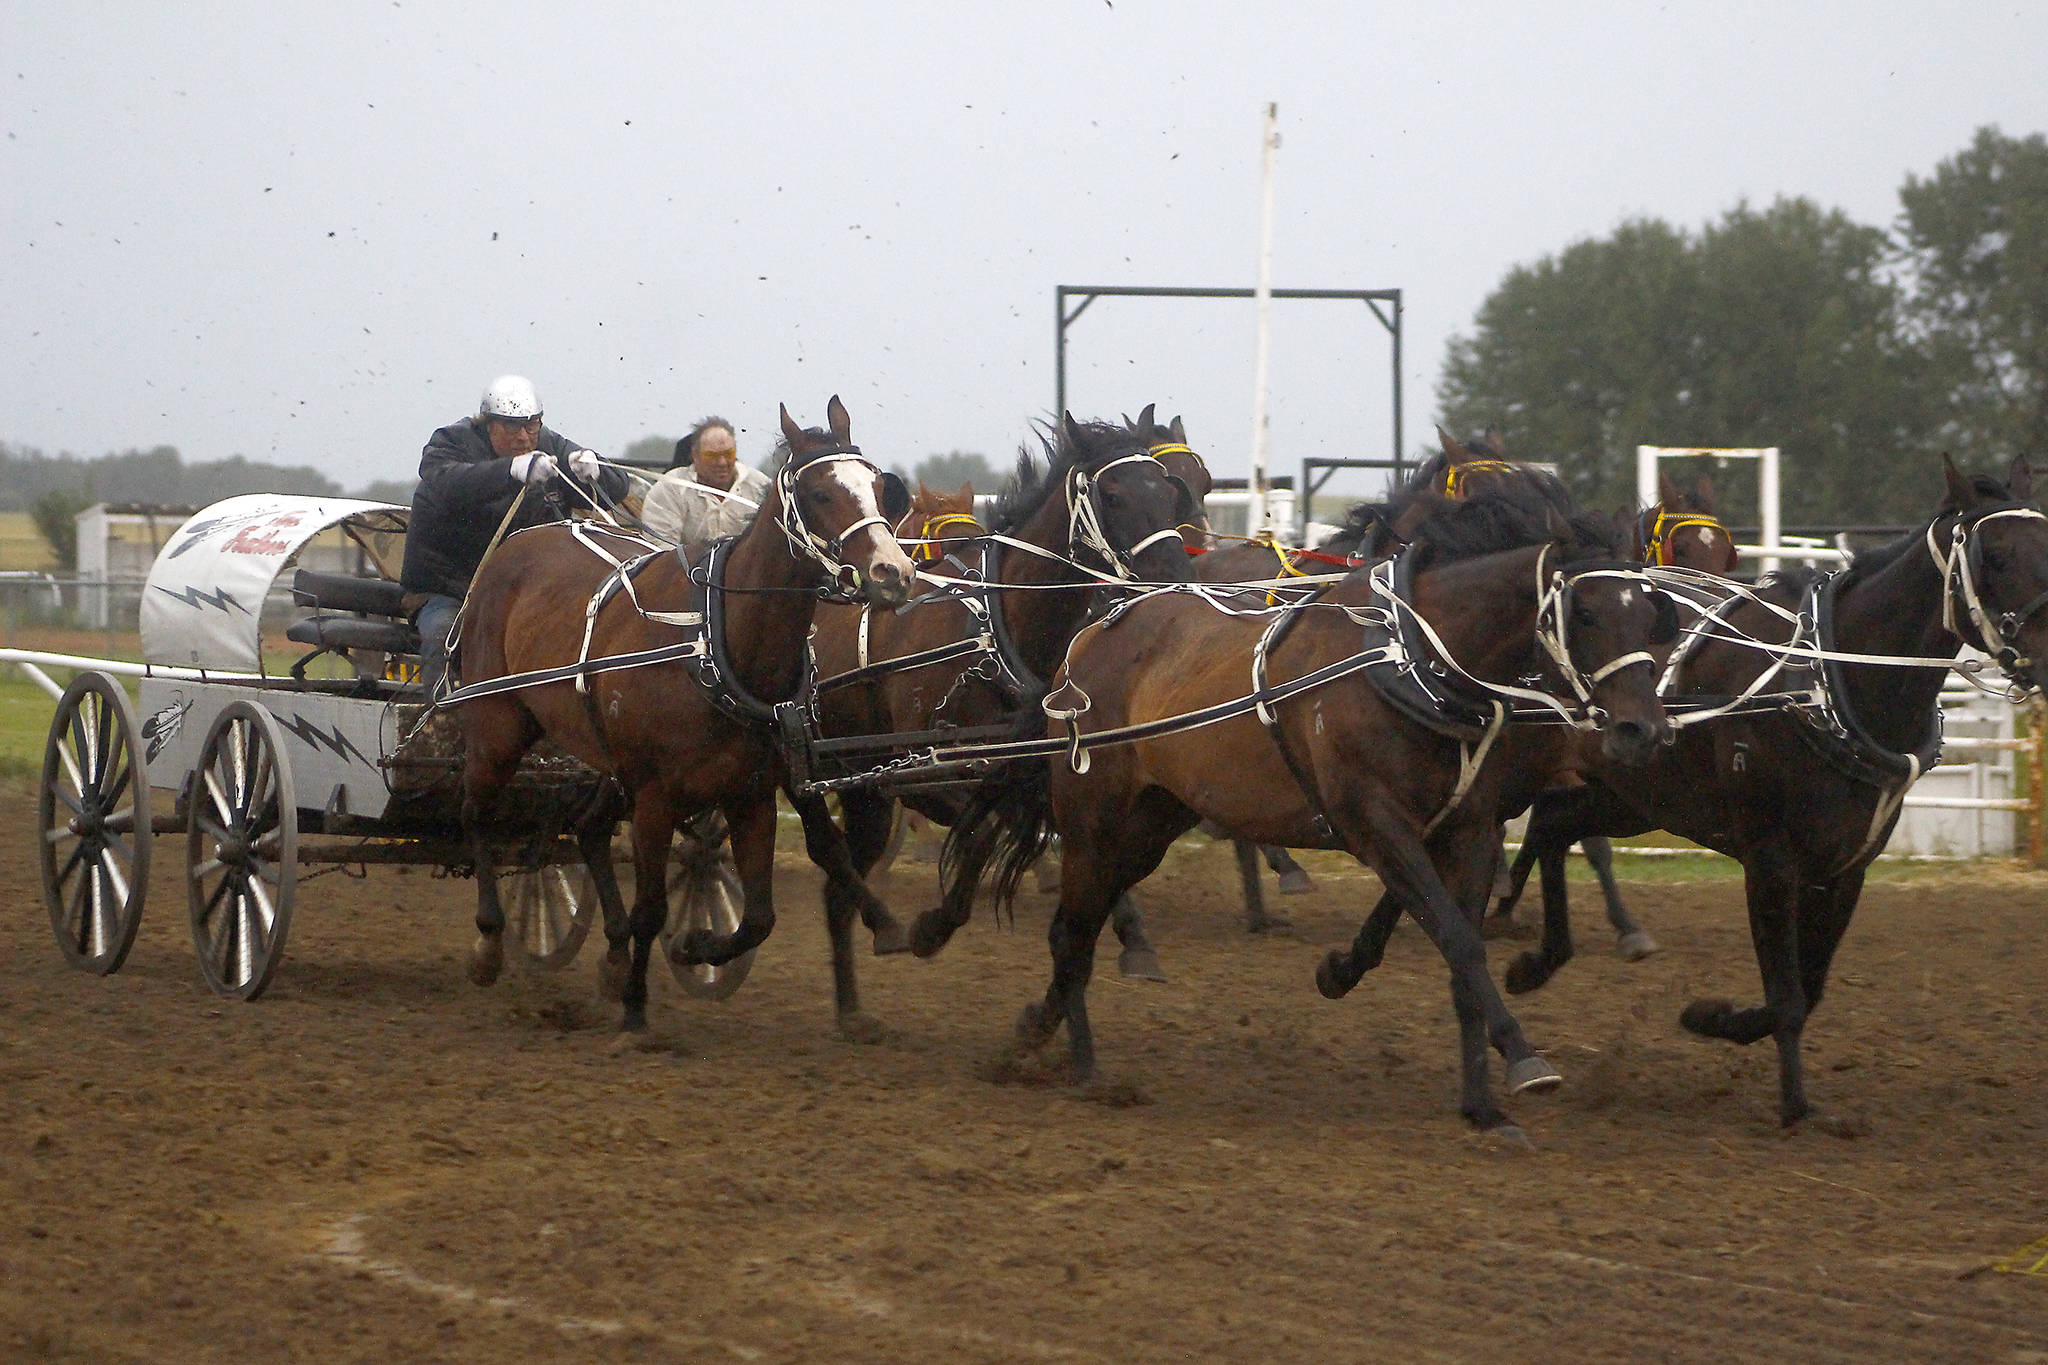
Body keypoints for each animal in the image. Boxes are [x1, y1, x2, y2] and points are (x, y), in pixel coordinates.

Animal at [464, 401, 921, 1031]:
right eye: (820, 493)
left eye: (877, 487)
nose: (893, 573)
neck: (717, 642)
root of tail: (513, 548)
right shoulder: (657, 797)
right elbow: (653, 908)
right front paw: (636, 1014)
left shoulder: (750, 793)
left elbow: (759, 917)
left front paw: (694, 946)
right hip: (499, 724)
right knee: (478, 814)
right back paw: (489, 941)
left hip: (609, 764)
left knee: (587, 828)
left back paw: (611, 953)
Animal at [942, 491, 1679, 1129]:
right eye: (1585, 613)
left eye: (1649, 612)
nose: (1643, 729)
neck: (1409, 661)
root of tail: (1087, 642)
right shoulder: (1378, 825)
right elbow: (1458, 939)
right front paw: (1524, 1058)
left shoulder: (1469, 829)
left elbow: (1459, 953)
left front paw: (1482, 1105)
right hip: (1094, 819)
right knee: (1073, 930)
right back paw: (1086, 1067)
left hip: (1152, 824)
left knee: (1080, 928)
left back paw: (1042, 1028)